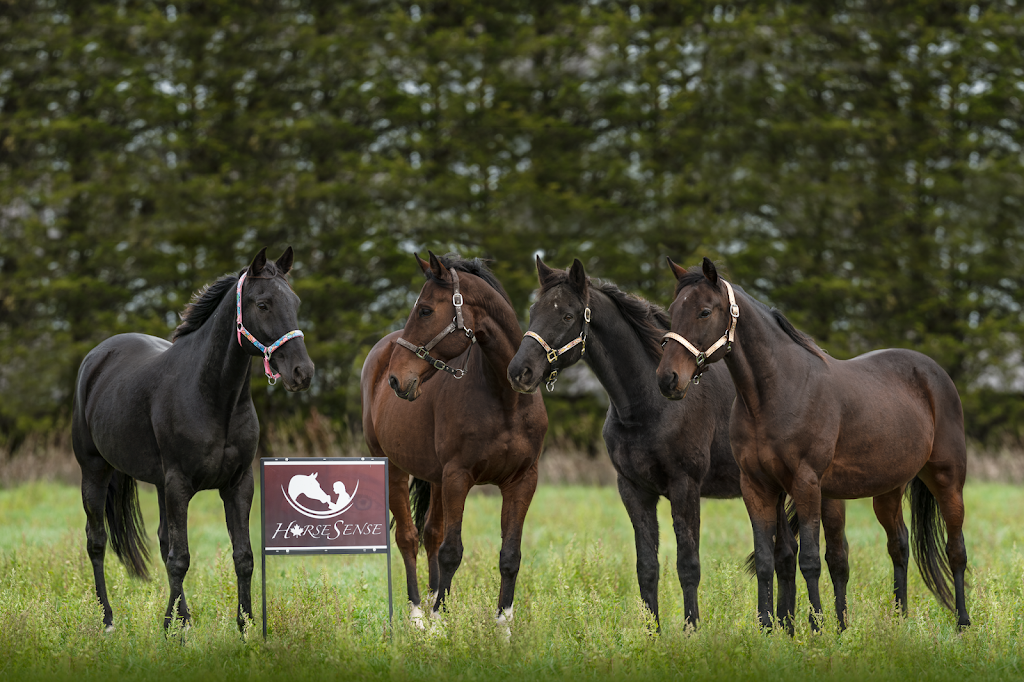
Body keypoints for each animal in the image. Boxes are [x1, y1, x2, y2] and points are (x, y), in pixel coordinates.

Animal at [72, 246, 313, 630]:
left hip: (157, 483)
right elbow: (180, 559)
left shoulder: (237, 485)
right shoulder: (179, 484)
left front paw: (244, 627)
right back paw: (107, 619)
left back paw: (182, 616)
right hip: (94, 470)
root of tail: (97, 357)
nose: (302, 373)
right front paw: (171, 629)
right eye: (263, 304)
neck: (212, 397)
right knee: (96, 541)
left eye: (295, 301)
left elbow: (242, 556)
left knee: (161, 540)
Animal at [362, 250, 548, 630]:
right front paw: (437, 624)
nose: (395, 380)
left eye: (425, 310)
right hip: (395, 469)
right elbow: (452, 551)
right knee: (408, 538)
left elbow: (510, 555)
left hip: (435, 478)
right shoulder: (458, 476)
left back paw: (435, 601)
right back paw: (419, 614)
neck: (506, 399)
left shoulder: (522, 481)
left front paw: (502, 627)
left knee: (431, 534)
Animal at [503, 258, 847, 630]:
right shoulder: (634, 491)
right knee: (785, 554)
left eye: (567, 315)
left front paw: (691, 629)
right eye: (534, 310)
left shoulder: (685, 487)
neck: (647, 406)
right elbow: (647, 567)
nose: (520, 371)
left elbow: (688, 565)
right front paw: (651, 633)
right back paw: (786, 627)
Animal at [655, 258, 966, 630]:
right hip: (888, 489)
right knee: (899, 545)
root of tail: (933, 372)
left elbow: (811, 560)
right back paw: (900, 619)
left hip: (947, 480)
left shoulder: (806, 484)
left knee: (955, 550)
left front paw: (816, 627)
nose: (668, 379)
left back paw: (963, 623)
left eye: (704, 311)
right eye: (674, 310)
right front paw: (767, 628)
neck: (777, 392)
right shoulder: (756, 486)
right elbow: (767, 559)